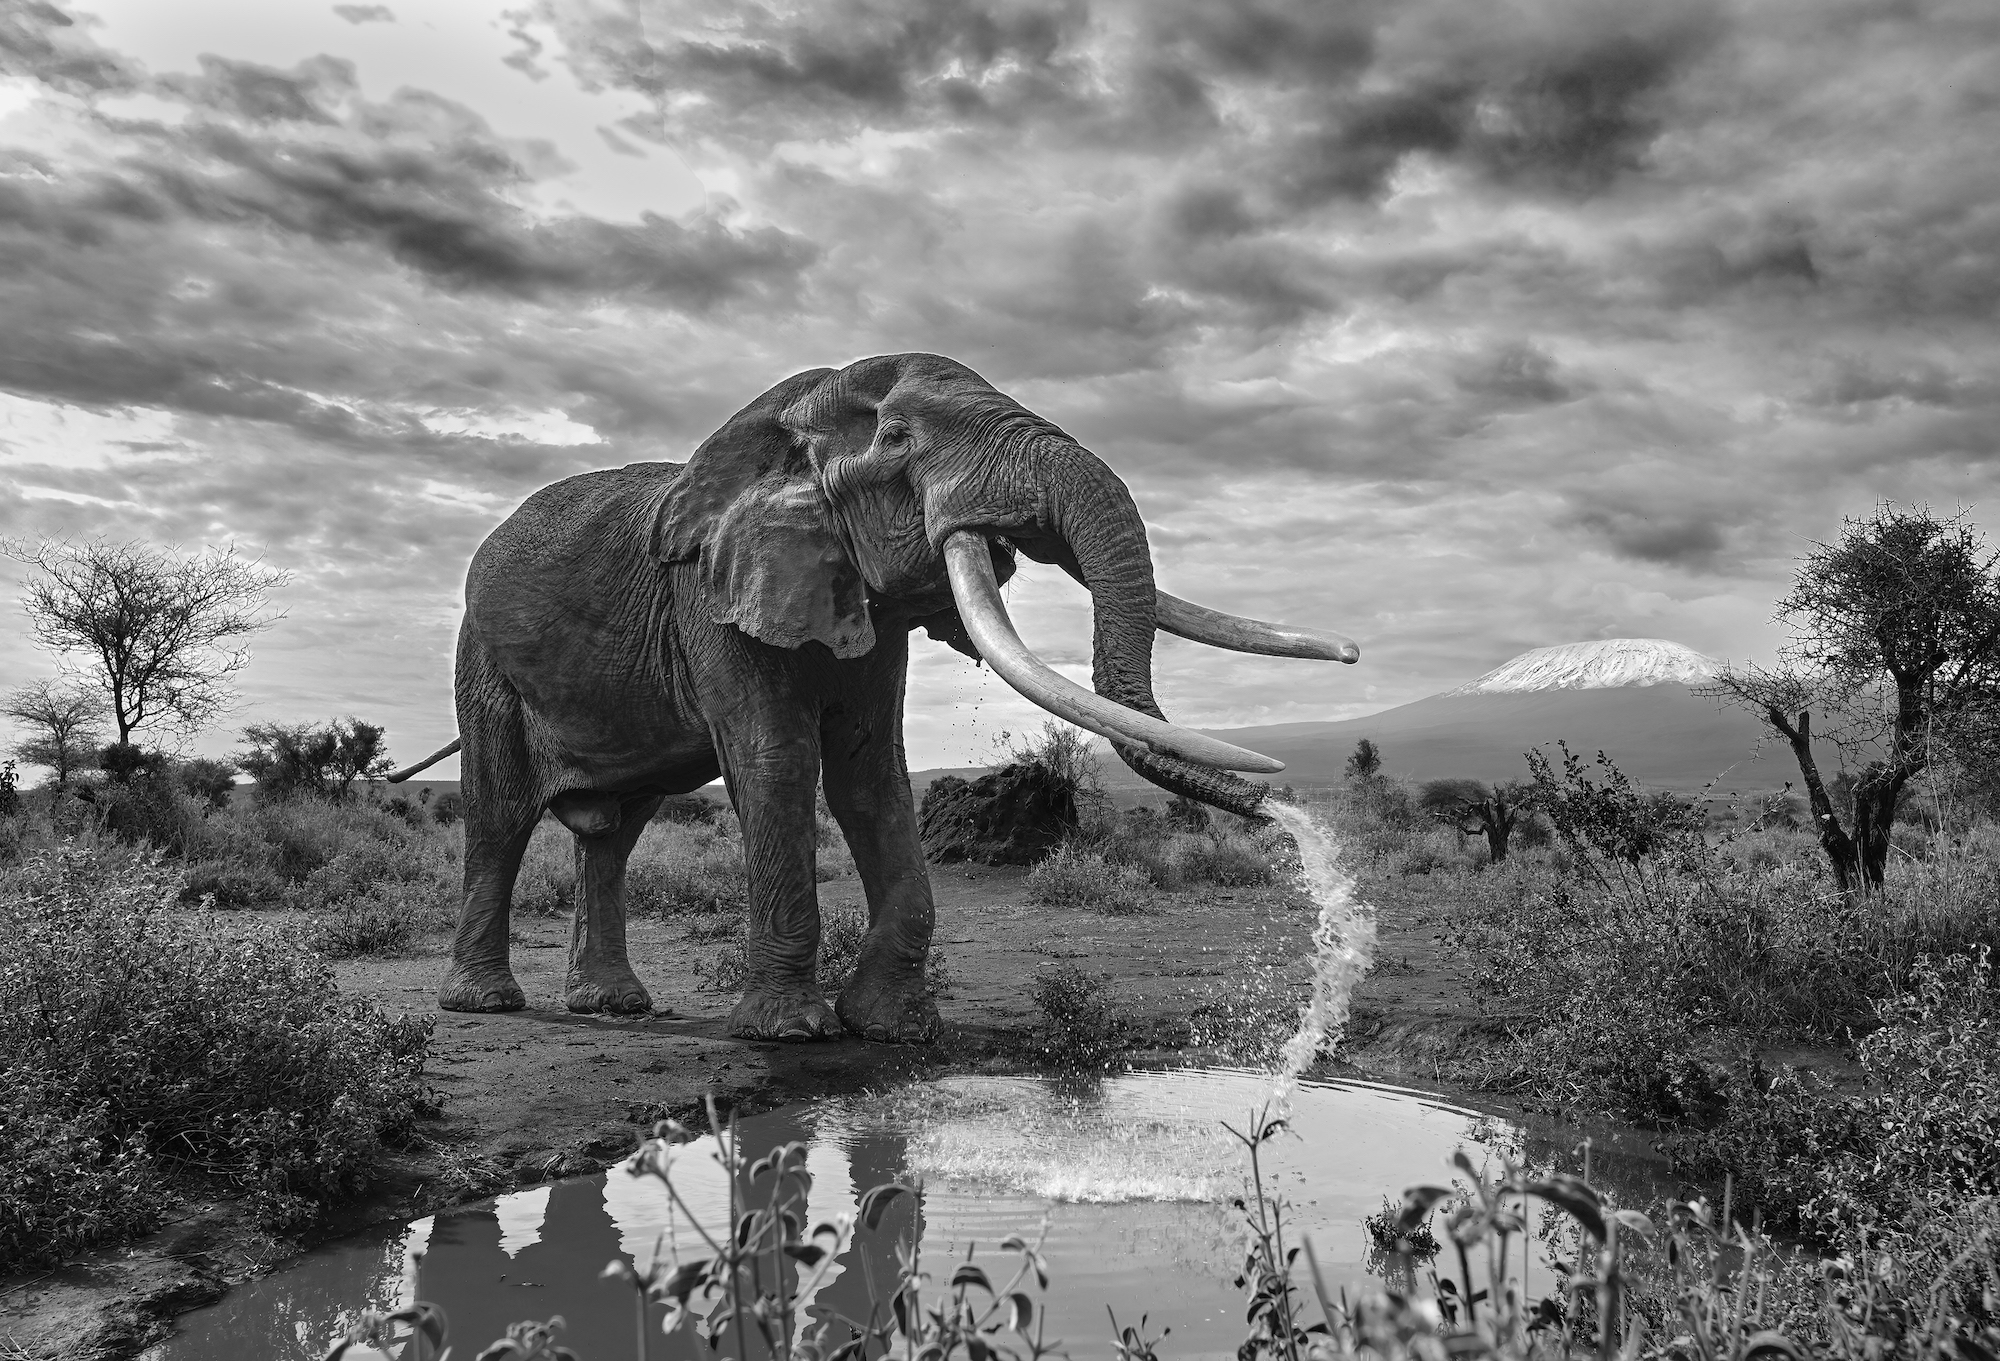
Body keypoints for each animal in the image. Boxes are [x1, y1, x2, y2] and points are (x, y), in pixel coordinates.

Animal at [387, 353, 1358, 1043]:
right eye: (896, 442)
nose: (1279, 808)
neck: (785, 417)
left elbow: (871, 773)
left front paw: (895, 1027)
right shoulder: (711, 593)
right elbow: (778, 760)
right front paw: (792, 1032)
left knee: (613, 832)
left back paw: (612, 1006)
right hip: (482, 660)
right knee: (501, 812)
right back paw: (486, 1005)